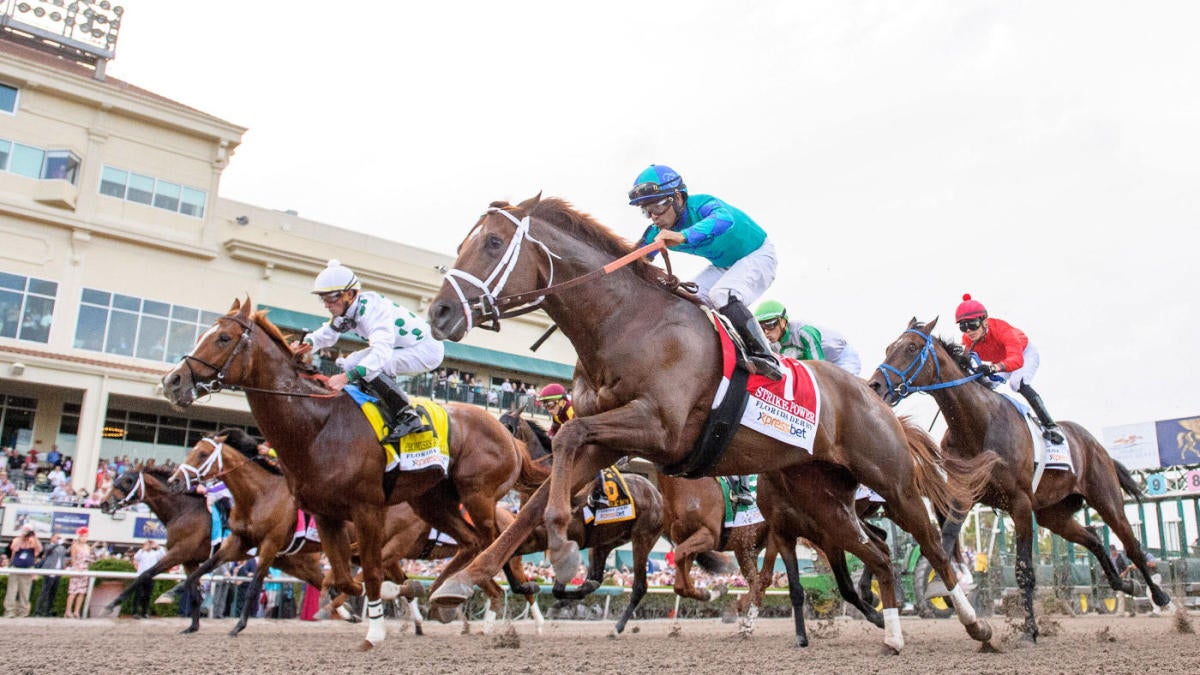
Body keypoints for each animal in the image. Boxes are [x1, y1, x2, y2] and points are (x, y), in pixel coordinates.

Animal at [99, 466, 212, 629]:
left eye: (128, 481)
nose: (105, 504)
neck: (184, 511)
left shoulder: (179, 552)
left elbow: (145, 574)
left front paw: (110, 605)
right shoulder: (189, 559)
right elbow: (194, 590)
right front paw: (192, 627)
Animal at [163, 299, 544, 648]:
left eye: (223, 338)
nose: (173, 381)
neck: (318, 425)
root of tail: (509, 437)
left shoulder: (365, 509)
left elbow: (367, 571)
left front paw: (375, 631)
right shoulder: (325, 514)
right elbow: (344, 577)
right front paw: (388, 596)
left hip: (478, 495)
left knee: (491, 545)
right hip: (431, 502)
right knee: (471, 542)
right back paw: (443, 592)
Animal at [499, 408, 667, 634]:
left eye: (508, 427)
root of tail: (656, 494)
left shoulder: (564, 538)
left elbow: (557, 588)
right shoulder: (536, 536)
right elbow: (506, 557)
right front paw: (530, 586)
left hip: (643, 538)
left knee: (640, 586)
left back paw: (617, 627)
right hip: (605, 542)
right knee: (598, 576)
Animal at [868, 317, 1166, 638]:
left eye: (911, 347)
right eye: (888, 347)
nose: (875, 385)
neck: (976, 423)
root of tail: (1097, 446)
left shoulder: (1020, 503)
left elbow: (1024, 570)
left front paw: (1029, 630)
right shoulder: (963, 493)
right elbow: (944, 541)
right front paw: (941, 587)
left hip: (1105, 498)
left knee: (1131, 544)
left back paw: (1160, 596)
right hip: (1053, 514)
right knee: (1093, 537)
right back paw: (1125, 583)